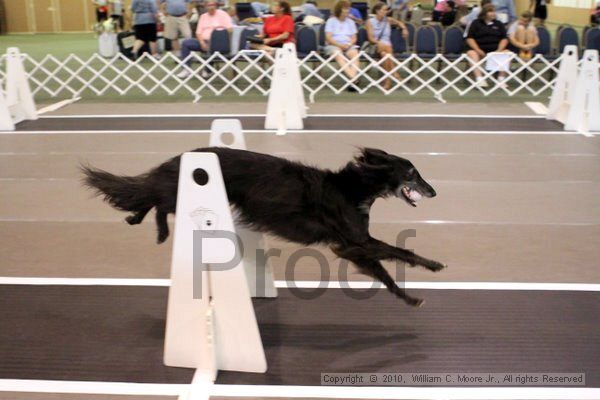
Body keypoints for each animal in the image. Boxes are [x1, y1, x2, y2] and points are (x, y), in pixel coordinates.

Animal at [82, 147, 446, 306]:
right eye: (411, 172)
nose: (433, 191)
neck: (353, 189)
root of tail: (182, 156)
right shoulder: (353, 242)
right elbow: (397, 254)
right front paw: (425, 276)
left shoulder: (353, 245)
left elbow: (387, 265)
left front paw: (411, 291)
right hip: (190, 191)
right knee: (156, 198)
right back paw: (156, 229)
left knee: (152, 198)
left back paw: (139, 220)